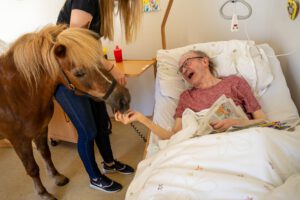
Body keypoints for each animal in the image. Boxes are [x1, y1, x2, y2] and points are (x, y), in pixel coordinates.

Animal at [0, 25, 130, 200]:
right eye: (79, 73)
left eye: (98, 60)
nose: (124, 99)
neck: (17, 93)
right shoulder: (19, 141)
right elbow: (32, 168)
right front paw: (43, 193)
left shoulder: (41, 130)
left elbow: (46, 153)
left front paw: (57, 177)